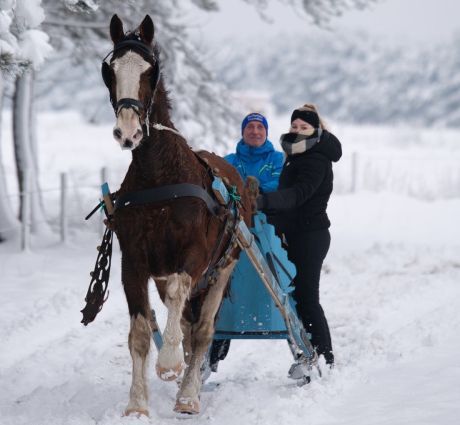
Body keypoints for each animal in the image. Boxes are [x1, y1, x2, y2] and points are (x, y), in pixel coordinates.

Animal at [99, 14, 253, 416]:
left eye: (150, 69)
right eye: (109, 70)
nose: (128, 132)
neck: (160, 176)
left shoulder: (194, 258)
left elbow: (181, 303)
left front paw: (170, 366)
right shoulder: (135, 262)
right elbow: (139, 334)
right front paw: (137, 405)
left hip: (224, 266)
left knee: (201, 330)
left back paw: (188, 395)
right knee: (183, 321)